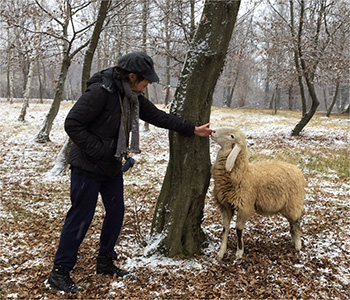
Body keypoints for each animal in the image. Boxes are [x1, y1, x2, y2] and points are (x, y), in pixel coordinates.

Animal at [209, 127, 304, 258]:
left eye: (232, 136)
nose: (212, 132)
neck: (242, 174)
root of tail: (297, 170)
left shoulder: (244, 207)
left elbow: (238, 230)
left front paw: (239, 252)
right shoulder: (225, 206)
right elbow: (225, 229)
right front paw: (221, 252)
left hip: (293, 203)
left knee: (296, 222)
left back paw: (298, 244)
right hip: (287, 206)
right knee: (292, 223)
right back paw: (294, 239)